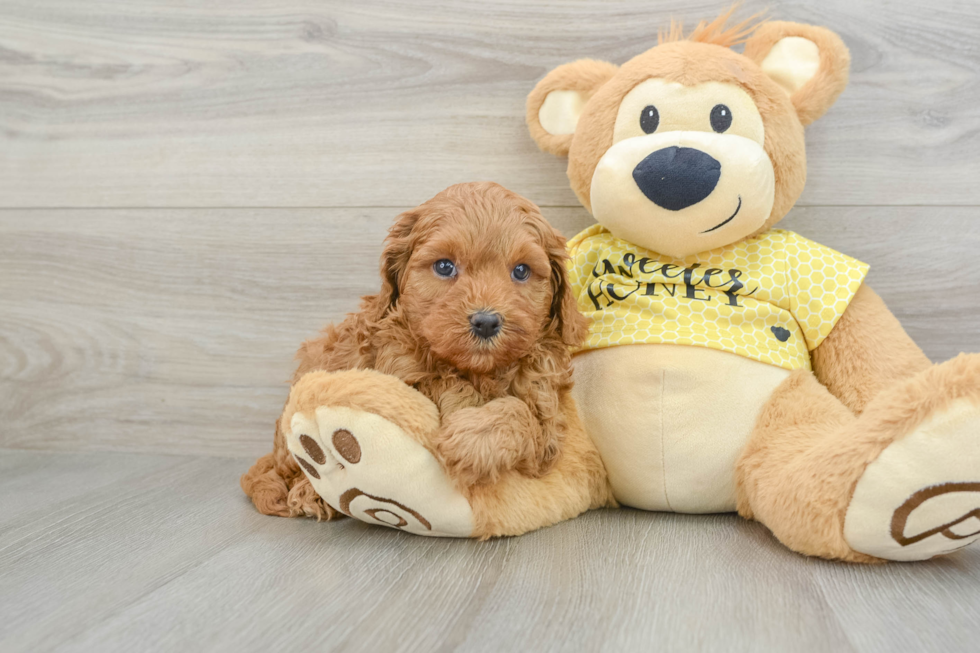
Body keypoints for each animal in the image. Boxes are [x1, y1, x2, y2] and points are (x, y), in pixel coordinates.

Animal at [243, 181, 588, 516]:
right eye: (445, 266)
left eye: (521, 271)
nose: (486, 322)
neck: (478, 370)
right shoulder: (397, 372)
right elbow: (440, 384)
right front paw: (463, 406)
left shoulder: (546, 426)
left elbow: (520, 414)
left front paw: (471, 440)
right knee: (287, 470)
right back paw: (309, 493)